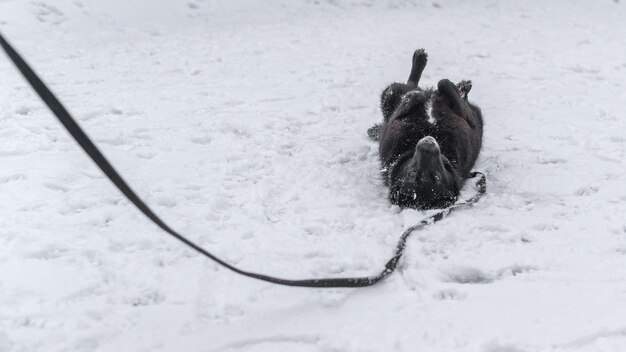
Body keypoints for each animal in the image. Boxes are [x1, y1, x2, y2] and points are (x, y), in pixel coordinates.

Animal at [366, 49, 482, 209]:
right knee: (411, 88)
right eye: (412, 174)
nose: (428, 146)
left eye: (437, 177)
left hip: (391, 94)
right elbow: (441, 84)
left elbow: (442, 85)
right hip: (391, 93)